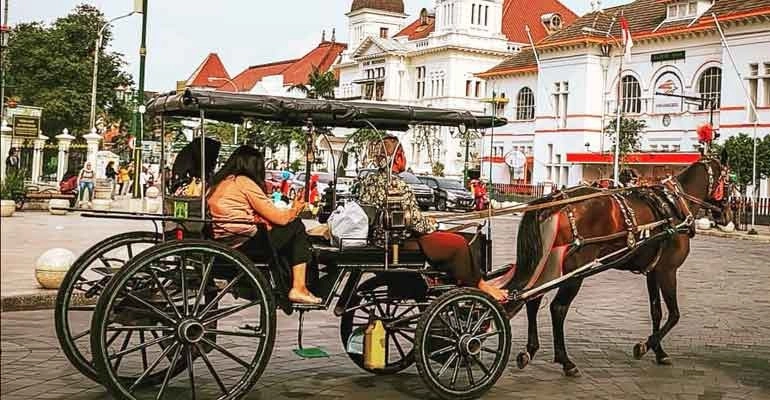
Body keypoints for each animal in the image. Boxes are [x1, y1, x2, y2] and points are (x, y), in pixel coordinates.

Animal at [508, 155, 728, 376]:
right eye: (729, 181)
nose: (725, 215)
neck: (675, 205)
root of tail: (553, 202)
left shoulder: (653, 271)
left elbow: (656, 311)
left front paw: (659, 352)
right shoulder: (668, 270)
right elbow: (674, 315)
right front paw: (644, 346)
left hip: (548, 266)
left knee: (533, 299)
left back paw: (530, 351)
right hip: (575, 271)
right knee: (558, 308)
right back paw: (565, 361)